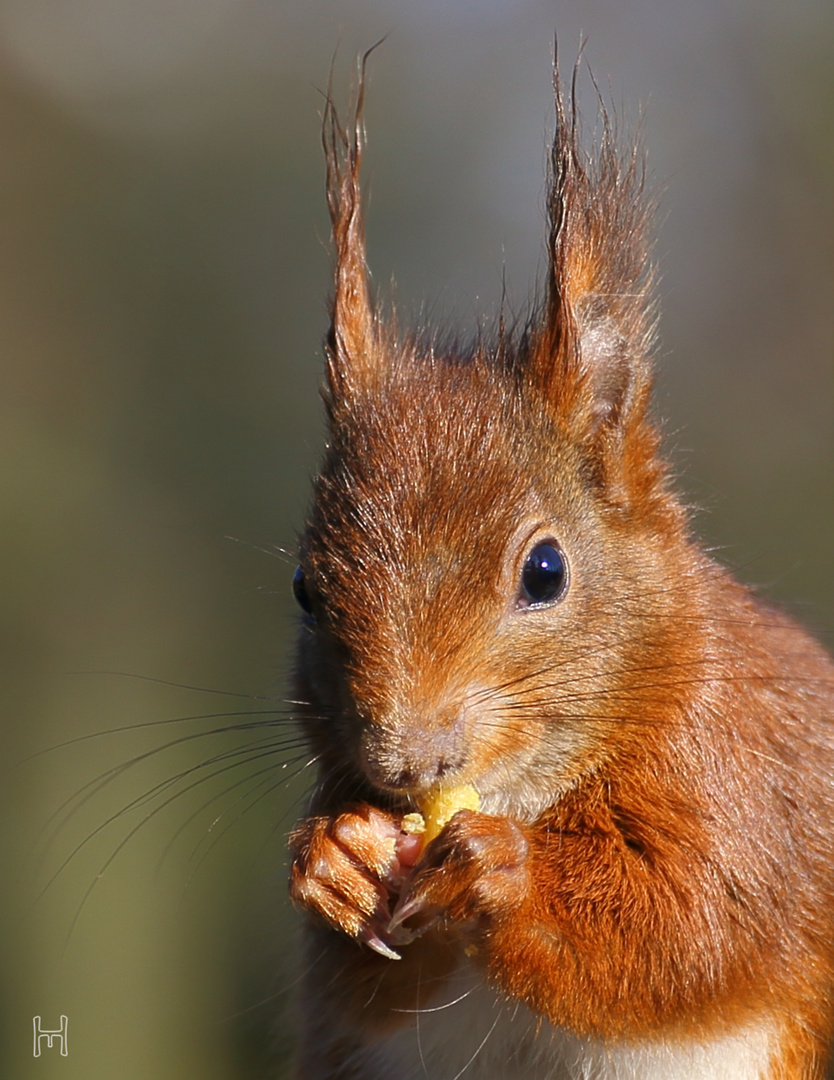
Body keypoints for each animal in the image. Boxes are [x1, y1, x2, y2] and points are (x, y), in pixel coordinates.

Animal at [285, 56, 833, 1080]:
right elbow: (367, 987)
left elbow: (690, 927)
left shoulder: (744, 795)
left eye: (545, 571)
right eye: (305, 589)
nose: (409, 760)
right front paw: (334, 855)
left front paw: (507, 873)